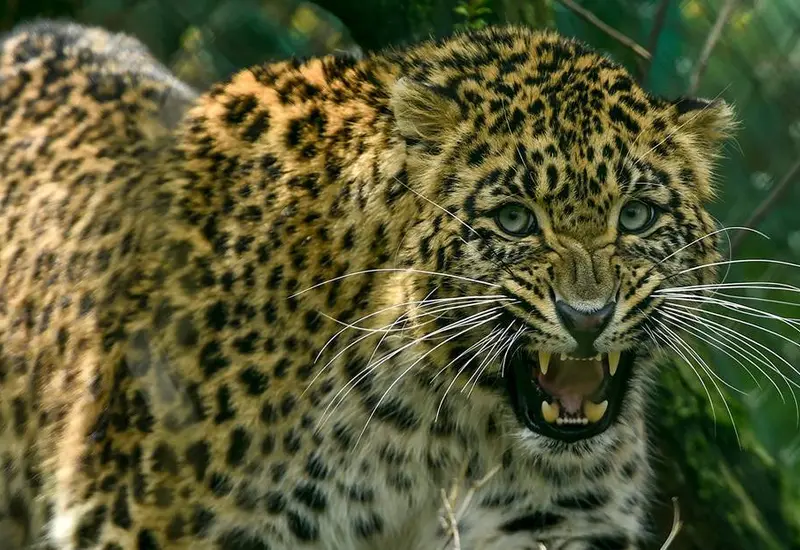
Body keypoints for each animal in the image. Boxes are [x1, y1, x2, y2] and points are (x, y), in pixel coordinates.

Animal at [0, 18, 737, 550]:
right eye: (514, 219)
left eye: (636, 215)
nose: (587, 316)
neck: (448, 425)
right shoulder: (154, 519)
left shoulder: (553, 523)